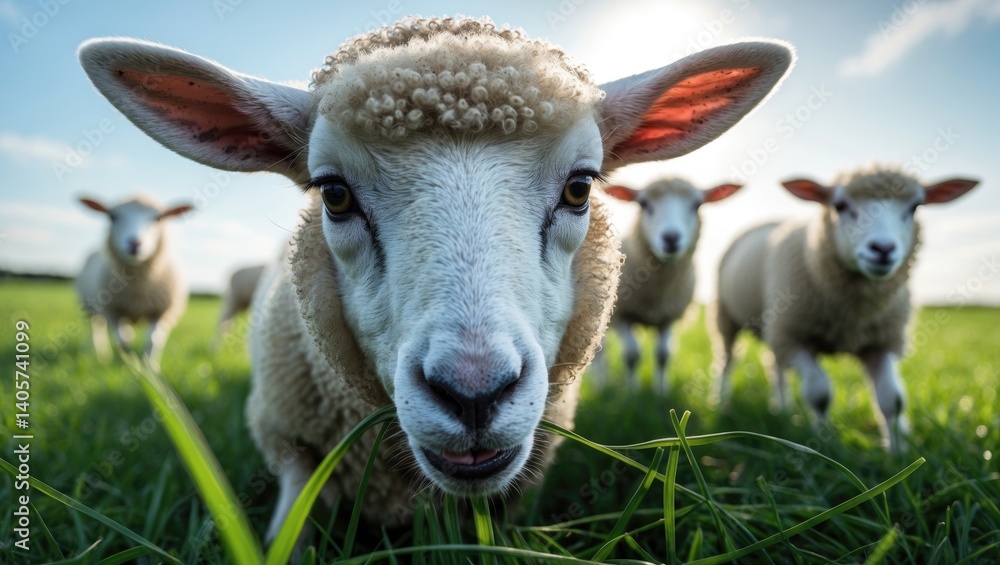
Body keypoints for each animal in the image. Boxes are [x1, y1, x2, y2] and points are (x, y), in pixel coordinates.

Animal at [75, 194, 194, 365]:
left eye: (158, 218)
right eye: (112, 217)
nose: (135, 244)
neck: (139, 287)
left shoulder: (161, 311)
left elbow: (152, 340)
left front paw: (149, 366)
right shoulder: (112, 310)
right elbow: (123, 340)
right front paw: (129, 363)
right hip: (89, 306)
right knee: (95, 327)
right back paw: (99, 354)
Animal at [600, 179, 742, 394]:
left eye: (697, 205)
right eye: (643, 204)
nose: (671, 238)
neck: (656, 293)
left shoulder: (668, 317)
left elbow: (663, 355)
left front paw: (661, 393)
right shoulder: (621, 316)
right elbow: (632, 354)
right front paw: (632, 392)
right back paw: (600, 384)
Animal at [715, 166, 979, 452]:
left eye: (915, 206)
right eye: (839, 205)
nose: (883, 249)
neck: (852, 315)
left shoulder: (883, 342)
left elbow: (892, 400)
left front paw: (898, 453)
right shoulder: (795, 337)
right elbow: (819, 394)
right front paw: (821, 443)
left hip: (776, 329)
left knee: (775, 366)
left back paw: (781, 409)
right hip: (728, 317)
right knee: (728, 360)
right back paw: (720, 404)